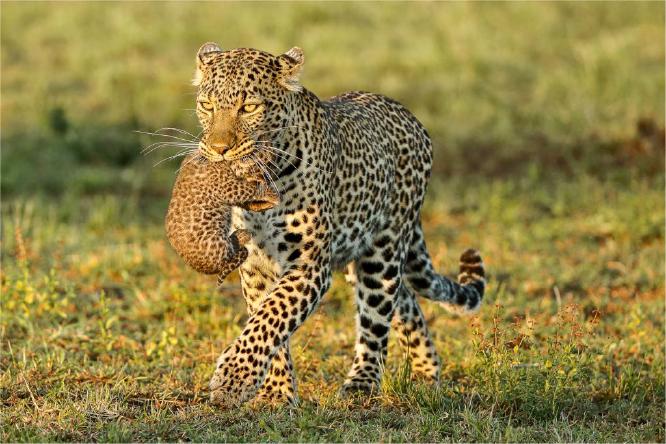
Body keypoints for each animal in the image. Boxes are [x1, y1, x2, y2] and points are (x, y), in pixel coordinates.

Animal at [165, 154, 279, 282]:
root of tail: (202, 269)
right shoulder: (228, 186)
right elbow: (248, 189)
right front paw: (269, 194)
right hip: (214, 245)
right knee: (231, 251)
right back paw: (242, 235)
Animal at [187, 42, 486, 408]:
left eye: (249, 107)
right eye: (207, 105)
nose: (219, 150)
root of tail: (410, 116)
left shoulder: (309, 266)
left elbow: (271, 317)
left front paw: (232, 380)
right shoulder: (257, 266)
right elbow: (267, 323)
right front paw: (275, 393)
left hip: (383, 252)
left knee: (377, 318)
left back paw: (362, 384)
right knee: (405, 299)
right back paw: (425, 373)